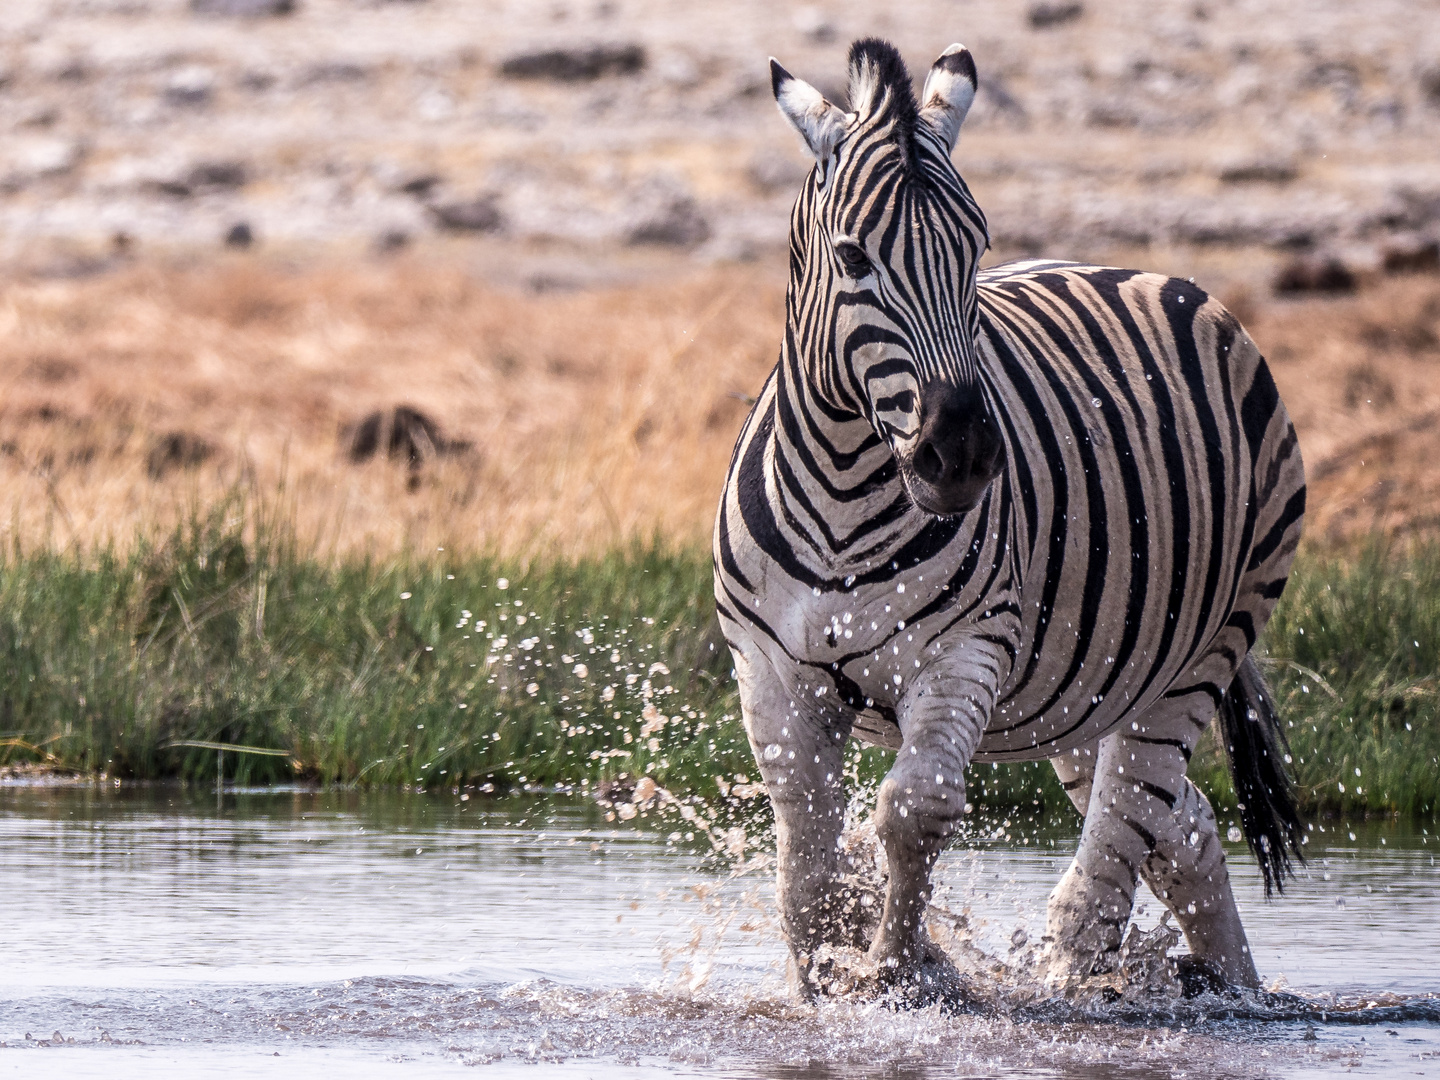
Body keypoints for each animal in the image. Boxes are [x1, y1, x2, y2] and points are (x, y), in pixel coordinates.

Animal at [714, 42, 1313, 1008]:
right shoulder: (773, 672)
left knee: (1123, 831)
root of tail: (1152, 276)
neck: (845, 492)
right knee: (1181, 826)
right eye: (852, 256)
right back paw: (1234, 990)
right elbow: (805, 855)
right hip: (1097, 684)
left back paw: (1076, 981)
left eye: (976, 247)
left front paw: (898, 973)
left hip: (1206, 647)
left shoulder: (965, 649)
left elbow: (913, 809)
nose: (958, 452)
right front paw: (821, 979)